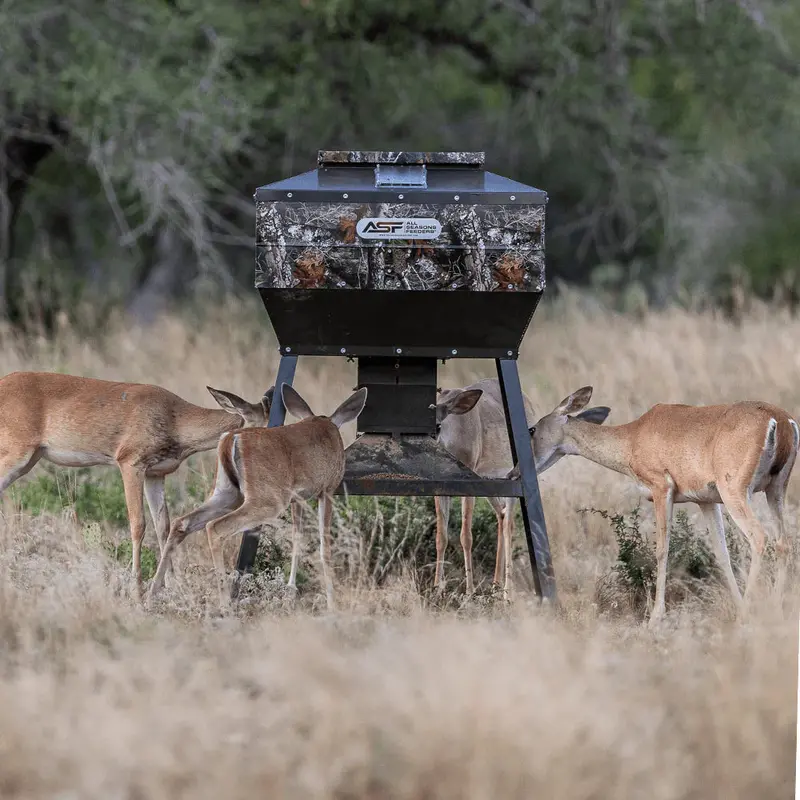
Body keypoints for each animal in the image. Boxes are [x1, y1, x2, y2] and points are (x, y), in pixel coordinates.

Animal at [0, 371, 273, 596]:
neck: (175, 420)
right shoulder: (130, 461)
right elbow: (138, 524)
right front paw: (137, 589)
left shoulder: (156, 473)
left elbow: (163, 525)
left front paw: (172, 585)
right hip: (16, 452)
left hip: (28, 458)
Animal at [147, 383, 369, 611]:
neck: (327, 425)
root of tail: (229, 439)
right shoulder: (328, 489)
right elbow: (325, 546)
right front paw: (332, 603)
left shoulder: (298, 498)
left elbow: (297, 538)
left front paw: (291, 591)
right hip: (266, 500)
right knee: (215, 527)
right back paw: (225, 603)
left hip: (227, 494)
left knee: (181, 522)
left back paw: (151, 595)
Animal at [432, 378, 610, 597]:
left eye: (438, 426)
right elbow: (441, 536)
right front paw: (436, 590)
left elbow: (465, 535)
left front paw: (470, 591)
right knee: (501, 517)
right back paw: (495, 585)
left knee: (508, 525)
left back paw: (506, 591)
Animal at [524, 386, 799, 626]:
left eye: (532, 429)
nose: (518, 471)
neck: (631, 441)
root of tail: (781, 421)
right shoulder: (706, 500)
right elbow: (721, 553)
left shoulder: (661, 486)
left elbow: (661, 550)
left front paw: (655, 618)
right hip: (775, 489)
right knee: (783, 543)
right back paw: (774, 608)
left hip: (736, 489)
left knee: (760, 537)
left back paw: (751, 612)